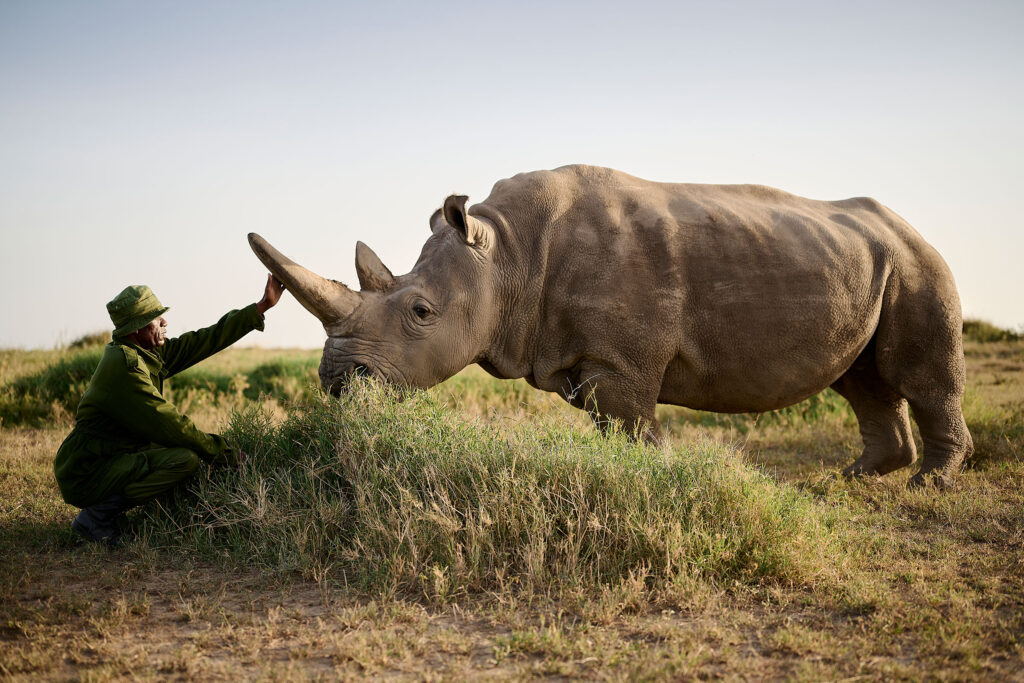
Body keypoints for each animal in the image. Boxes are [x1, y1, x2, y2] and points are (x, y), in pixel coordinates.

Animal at [251, 163, 970, 489]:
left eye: (421, 312)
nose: (338, 381)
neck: (504, 255)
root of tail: (908, 226)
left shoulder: (622, 362)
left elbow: (634, 426)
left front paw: (658, 485)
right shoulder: (586, 356)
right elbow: (614, 428)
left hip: (917, 261)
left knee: (917, 375)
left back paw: (926, 484)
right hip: (867, 261)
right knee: (861, 378)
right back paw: (853, 479)